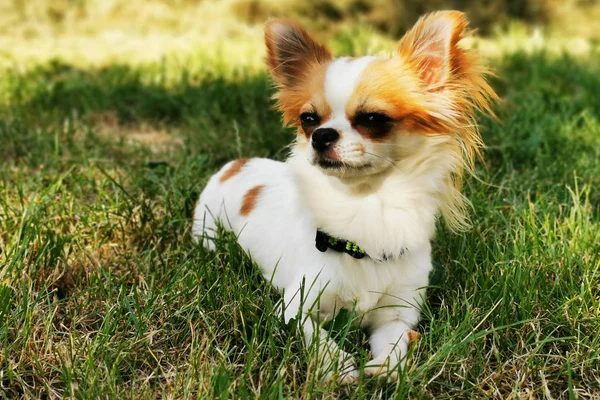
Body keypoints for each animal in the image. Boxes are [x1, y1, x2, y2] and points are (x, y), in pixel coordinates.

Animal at [192, 10, 496, 384]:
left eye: (374, 119)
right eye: (308, 119)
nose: (321, 135)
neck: (365, 204)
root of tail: (236, 163)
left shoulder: (398, 313)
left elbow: (396, 344)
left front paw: (384, 368)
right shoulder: (293, 307)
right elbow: (315, 334)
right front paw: (338, 365)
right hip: (207, 231)